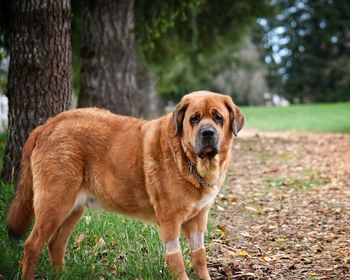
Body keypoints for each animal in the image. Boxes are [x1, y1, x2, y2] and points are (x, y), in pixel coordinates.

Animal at [6, 91, 245, 278]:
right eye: (194, 119)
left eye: (218, 118)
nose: (207, 133)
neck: (190, 162)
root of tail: (47, 125)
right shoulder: (170, 221)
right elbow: (176, 261)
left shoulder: (198, 220)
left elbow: (200, 257)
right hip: (55, 204)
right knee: (32, 245)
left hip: (73, 209)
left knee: (55, 245)